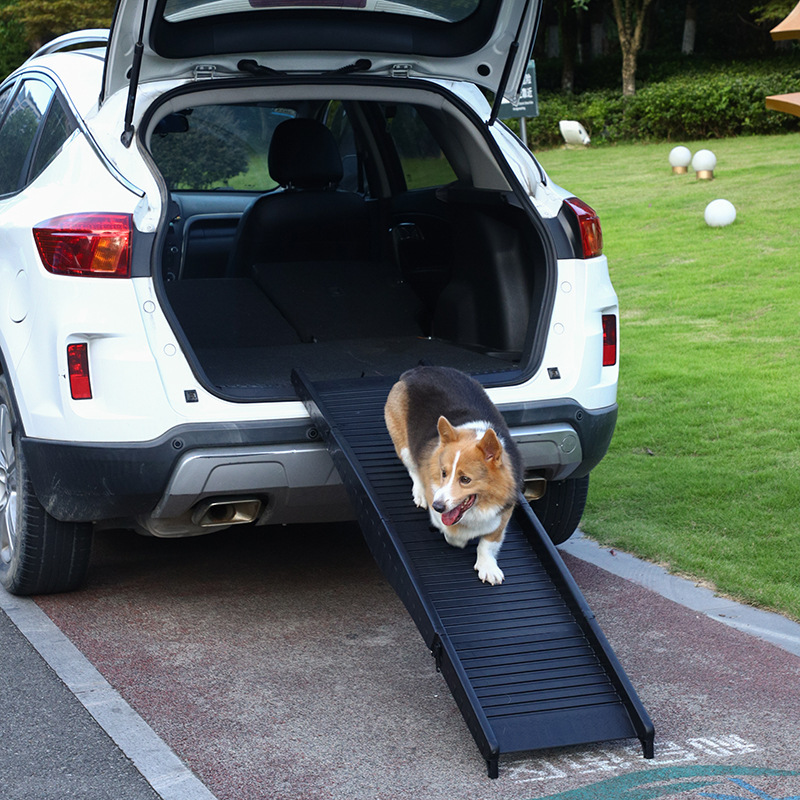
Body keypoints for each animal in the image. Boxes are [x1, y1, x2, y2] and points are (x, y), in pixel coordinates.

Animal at [384, 366, 520, 584]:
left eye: (465, 479)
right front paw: (458, 538)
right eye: (443, 473)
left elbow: (488, 542)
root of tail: (418, 370)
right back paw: (420, 493)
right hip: (403, 446)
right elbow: (450, 532)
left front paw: (488, 567)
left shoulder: (503, 514)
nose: (438, 506)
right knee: (413, 469)